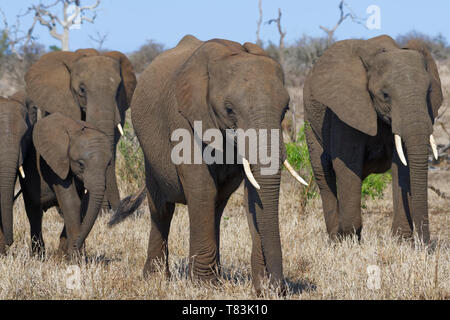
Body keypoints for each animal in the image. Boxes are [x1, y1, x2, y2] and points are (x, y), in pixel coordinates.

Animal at [20, 112, 112, 255]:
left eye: (108, 165)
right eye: (80, 164)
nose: (75, 246)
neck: (75, 130)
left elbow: (82, 206)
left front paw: (64, 256)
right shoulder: (54, 163)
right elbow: (72, 203)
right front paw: (76, 258)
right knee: (33, 211)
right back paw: (38, 256)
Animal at [108, 35, 306, 296]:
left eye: (285, 110)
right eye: (229, 109)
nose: (278, 288)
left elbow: (254, 196)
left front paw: (259, 287)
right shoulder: (184, 118)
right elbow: (202, 187)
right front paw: (204, 286)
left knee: (217, 207)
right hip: (148, 153)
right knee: (162, 209)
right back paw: (155, 278)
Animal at [302, 35, 442, 244]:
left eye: (428, 92)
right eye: (385, 95)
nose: (425, 245)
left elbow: (402, 166)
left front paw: (400, 241)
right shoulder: (345, 111)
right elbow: (346, 164)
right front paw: (348, 239)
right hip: (309, 121)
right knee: (323, 171)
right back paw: (335, 238)